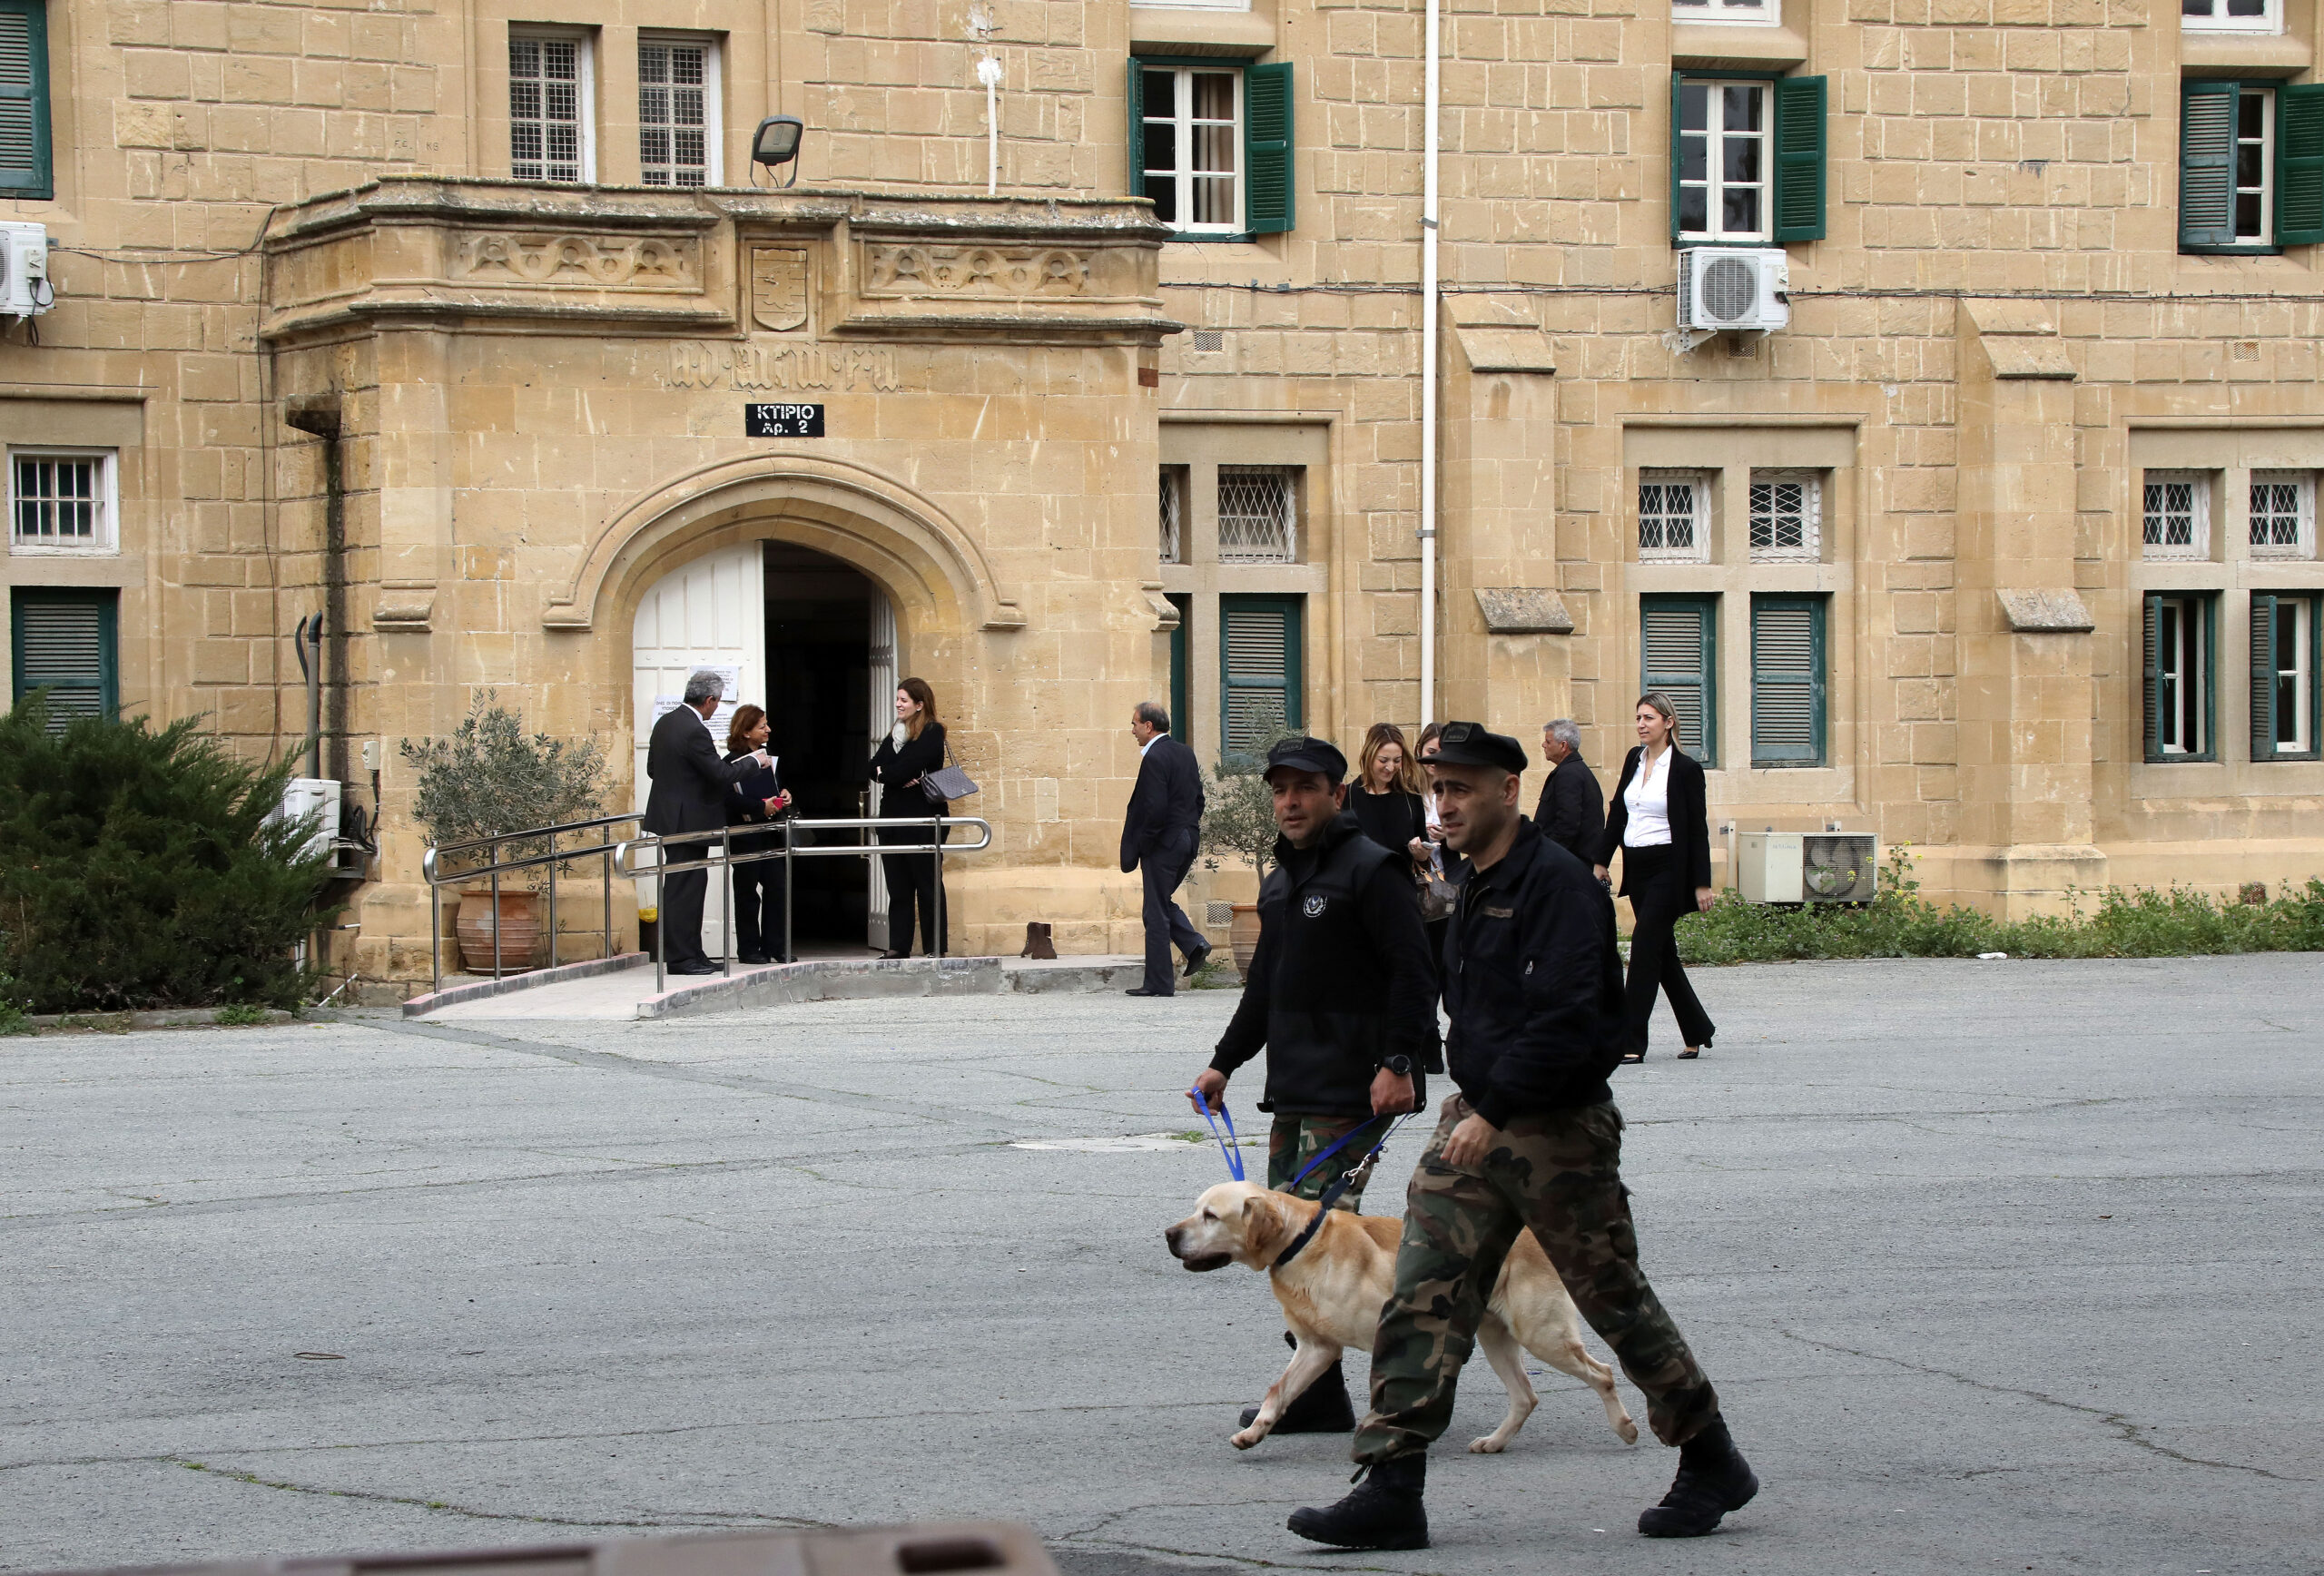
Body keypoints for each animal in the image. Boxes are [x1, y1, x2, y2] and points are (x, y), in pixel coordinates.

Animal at [1162, 1185, 1636, 1459]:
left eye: (1210, 1216)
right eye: (1195, 1210)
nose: (1168, 1234)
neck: (1302, 1243)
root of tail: (1532, 1236)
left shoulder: (1385, 1336)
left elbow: (1385, 1394)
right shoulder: (1316, 1347)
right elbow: (1278, 1391)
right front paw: (1254, 1434)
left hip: (1542, 1334)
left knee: (1604, 1372)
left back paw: (1625, 1427)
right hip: (1496, 1337)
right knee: (1526, 1396)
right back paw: (1496, 1441)